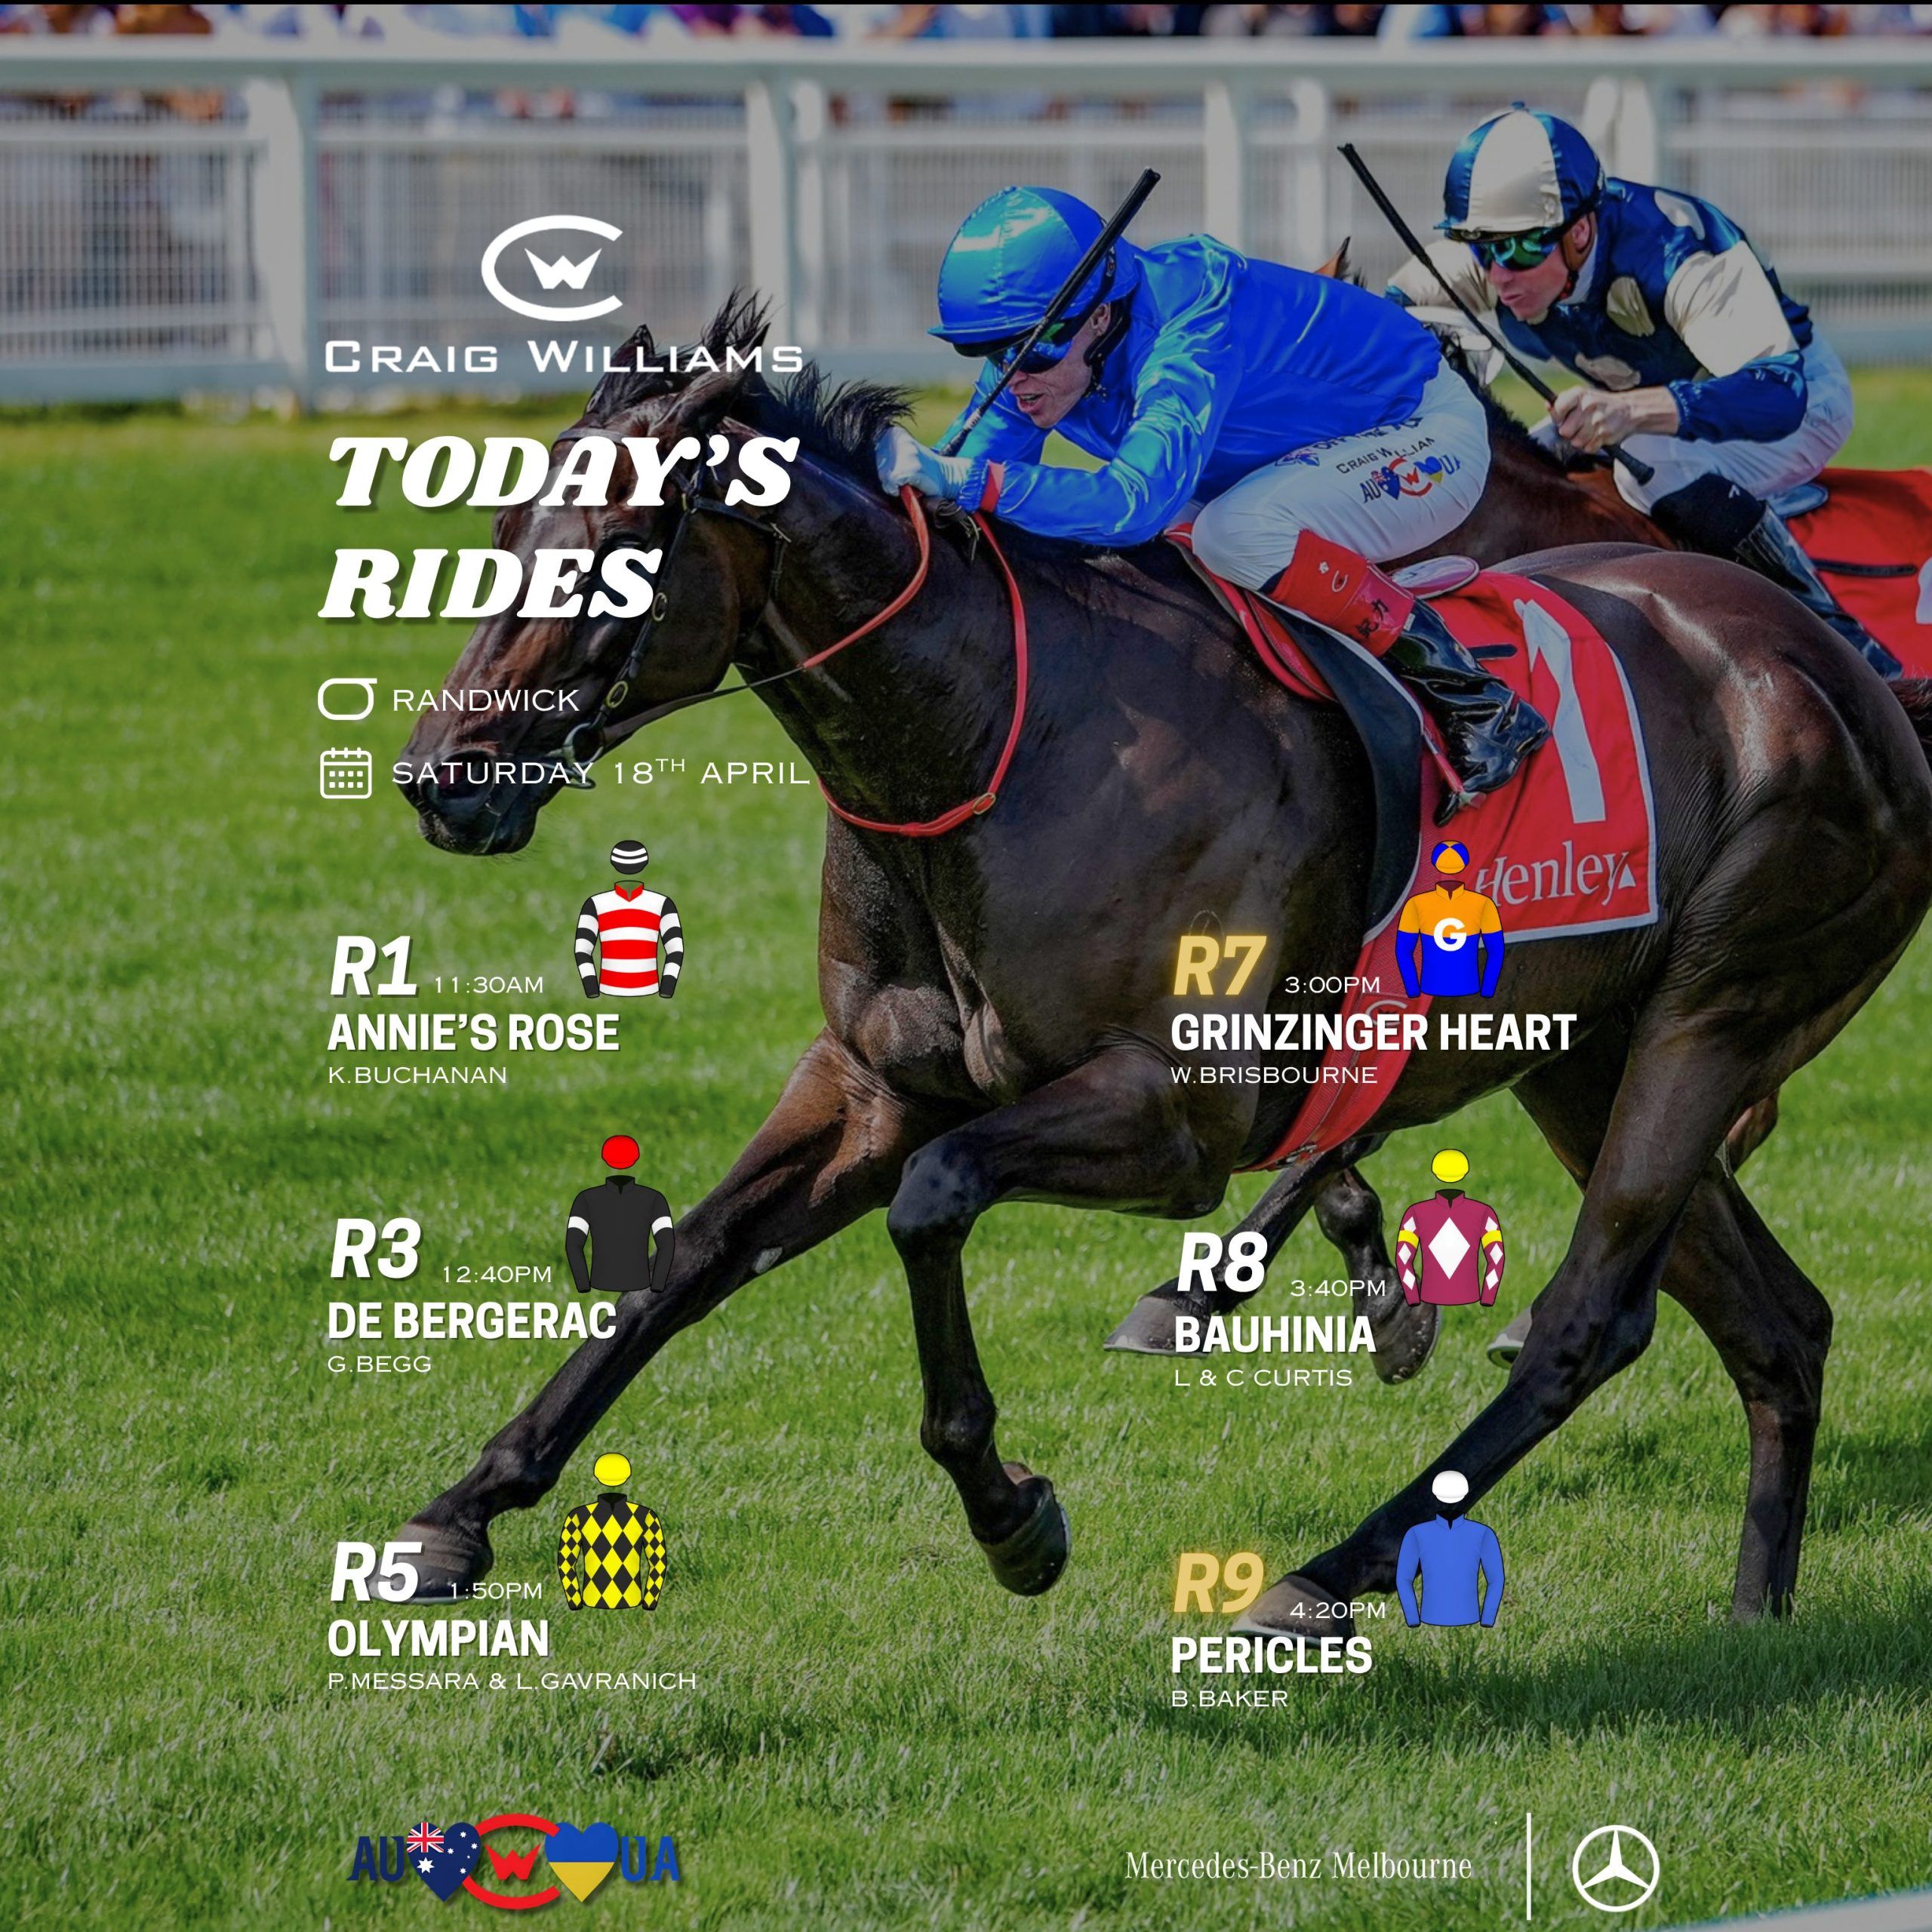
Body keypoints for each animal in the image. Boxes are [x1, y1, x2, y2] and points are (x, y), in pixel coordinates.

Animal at [394, 297, 1932, 1637]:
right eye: (502, 528)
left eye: (619, 550)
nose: (440, 780)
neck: (993, 734)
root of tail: (1843, 668)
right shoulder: (871, 1084)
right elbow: (688, 1255)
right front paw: (457, 1514)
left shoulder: (1177, 1115)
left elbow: (936, 1202)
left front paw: (1012, 1514)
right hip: (1580, 1054)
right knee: (1777, 1323)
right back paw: (1754, 1611)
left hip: (1712, 1014)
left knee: (1587, 1320)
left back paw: (1323, 1576)